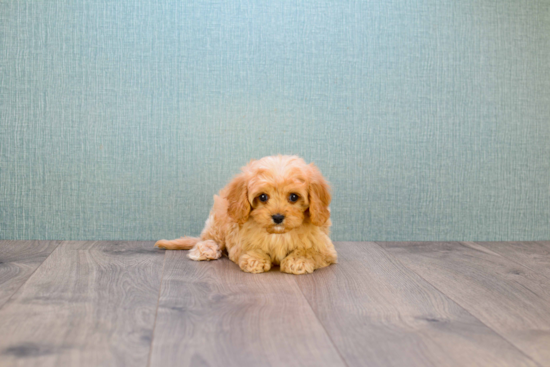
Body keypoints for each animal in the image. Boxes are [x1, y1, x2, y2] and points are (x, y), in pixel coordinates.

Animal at [153, 155, 338, 274]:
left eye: (294, 197)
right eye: (263, 197)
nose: (278, 217)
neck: (278, 234)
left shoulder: (326, 248)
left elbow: (309, 251)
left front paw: (297, 261)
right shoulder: (237, 241)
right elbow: (250, 248)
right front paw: (255, 260)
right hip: (219, 220)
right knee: (208, 239)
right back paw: (206, 249)